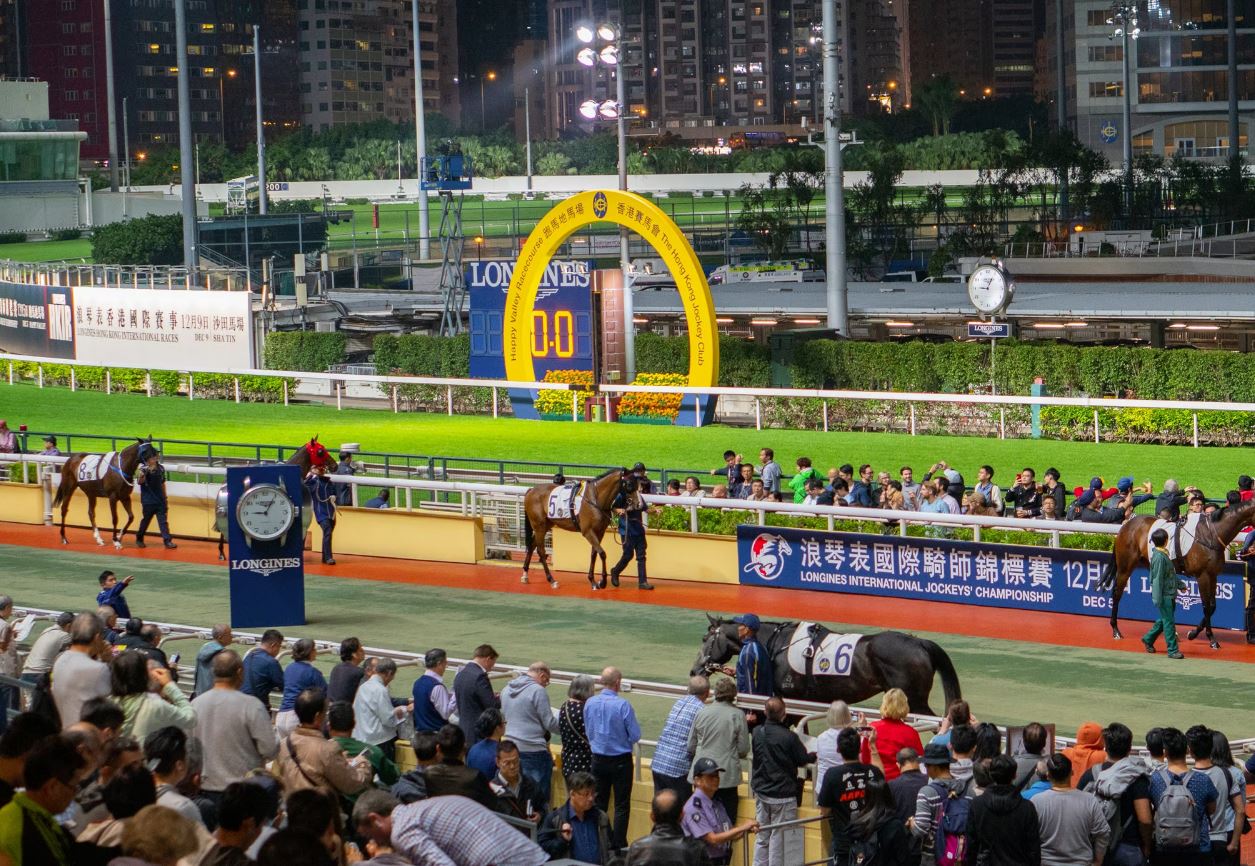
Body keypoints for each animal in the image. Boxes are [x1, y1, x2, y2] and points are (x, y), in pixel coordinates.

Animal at [692, 609, 963, 712]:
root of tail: (920, 643)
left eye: (705, 638)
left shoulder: (792, 695)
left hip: (914, 699)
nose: (695, 670)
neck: (778, 645)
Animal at [1099, 499, 1255, 647]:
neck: (1211, 534)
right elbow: (1206, 606)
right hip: (1125, 567)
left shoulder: (1213, 575)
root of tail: (1125, 526)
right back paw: (1116, 630)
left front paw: (1193, 633)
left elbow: (1212, 606)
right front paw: (1211, 639)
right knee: (1116, 594)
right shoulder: (1202, 576)